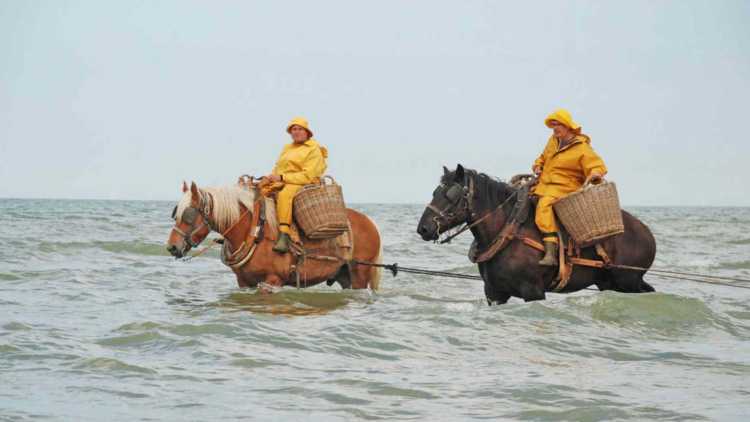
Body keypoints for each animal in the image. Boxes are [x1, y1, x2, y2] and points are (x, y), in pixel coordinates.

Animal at [168, 181, 384, 294]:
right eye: (175, 213)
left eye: (188, 215)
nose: (172, 247)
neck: (254, 232)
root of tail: (370, 223)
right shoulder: (244, 282)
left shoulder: (272, 281)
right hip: (344, 276)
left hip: (360, 274)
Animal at [418, 163, 656, 304]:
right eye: (435, 192)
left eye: (451, 195)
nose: (423, 228)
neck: (509, 232)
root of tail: (646, 232)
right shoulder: (494, 293)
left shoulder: (533, 292)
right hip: (611, 283)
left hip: (627, 282)